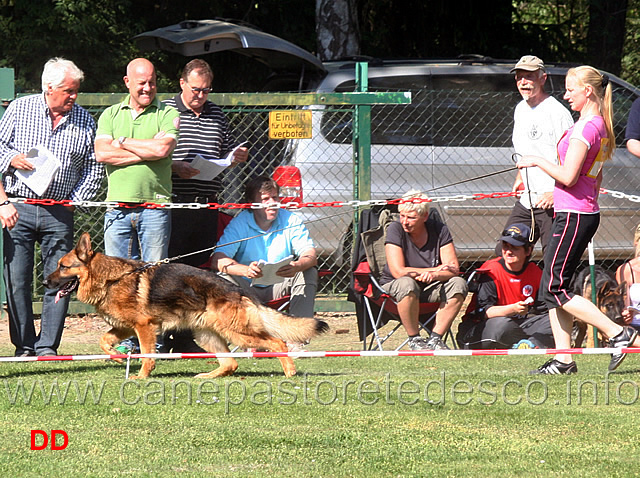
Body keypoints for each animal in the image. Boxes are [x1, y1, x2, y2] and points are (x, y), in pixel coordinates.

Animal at [43, 233, 330, 380]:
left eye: (63, 266)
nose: (45, 281)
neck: (111, 278)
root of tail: (238, 289)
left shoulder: (144, 327)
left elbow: (147, 354)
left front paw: (141, 376)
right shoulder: (125, 328)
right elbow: (104, 341)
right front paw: (116, 356)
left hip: (237, 333)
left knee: (277, 342)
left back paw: (290, 371)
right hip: (206, 335)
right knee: (231, 363)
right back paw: (207, 377)